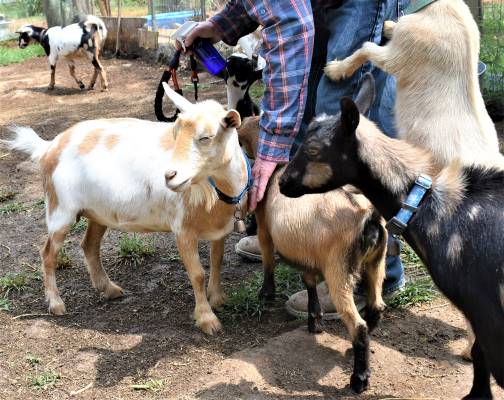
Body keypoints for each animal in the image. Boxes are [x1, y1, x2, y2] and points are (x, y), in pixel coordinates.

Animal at [280, 73, 504, 398]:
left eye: (313, 150)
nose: (282, 183)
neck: (430, 206)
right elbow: (478, 354)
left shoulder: (486, 310)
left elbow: (482, 355)